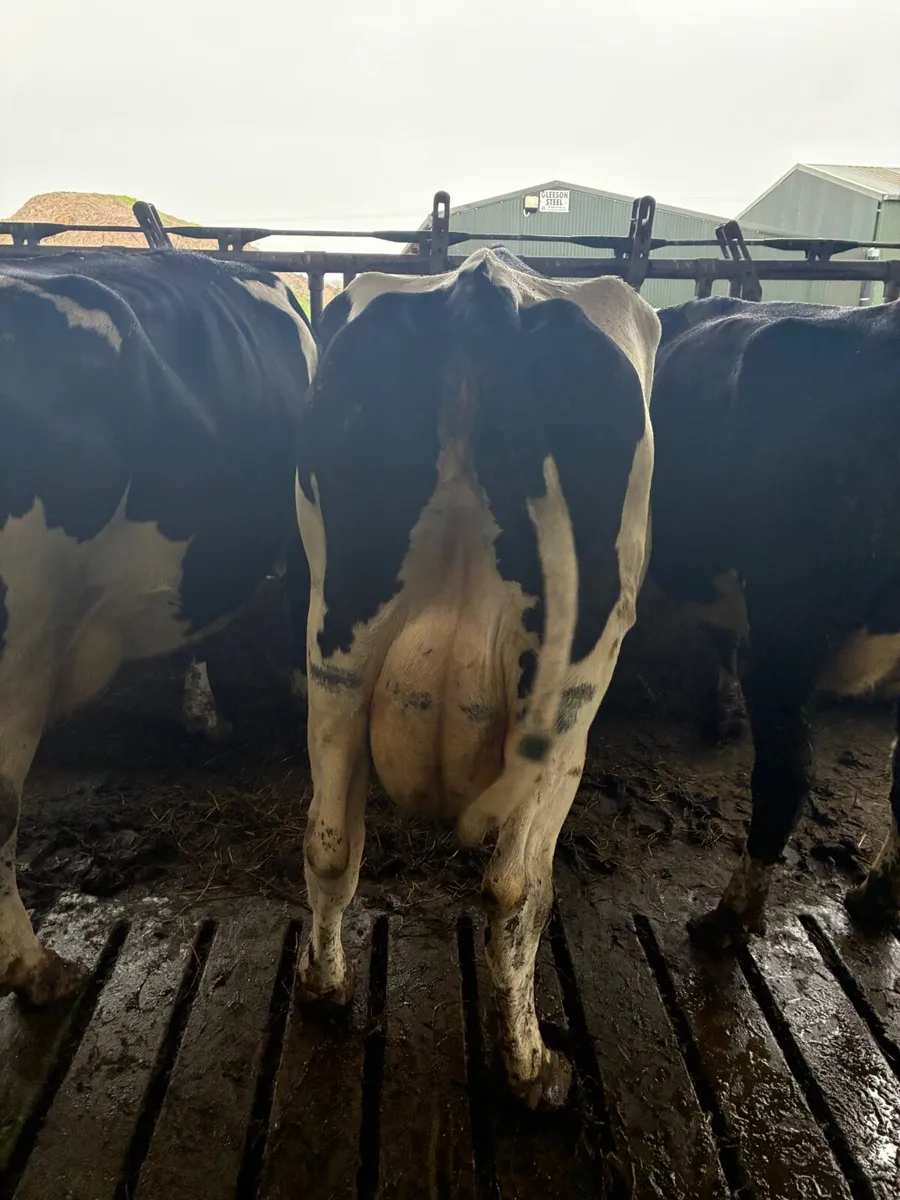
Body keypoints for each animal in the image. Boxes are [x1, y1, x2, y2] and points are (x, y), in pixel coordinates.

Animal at [293, 247, 660, 1108]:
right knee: (515, 886)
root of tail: (484, 286)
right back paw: (532, 1067)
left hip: (337, 646)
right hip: (570, 699)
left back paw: (323, 989)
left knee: (331, 839)